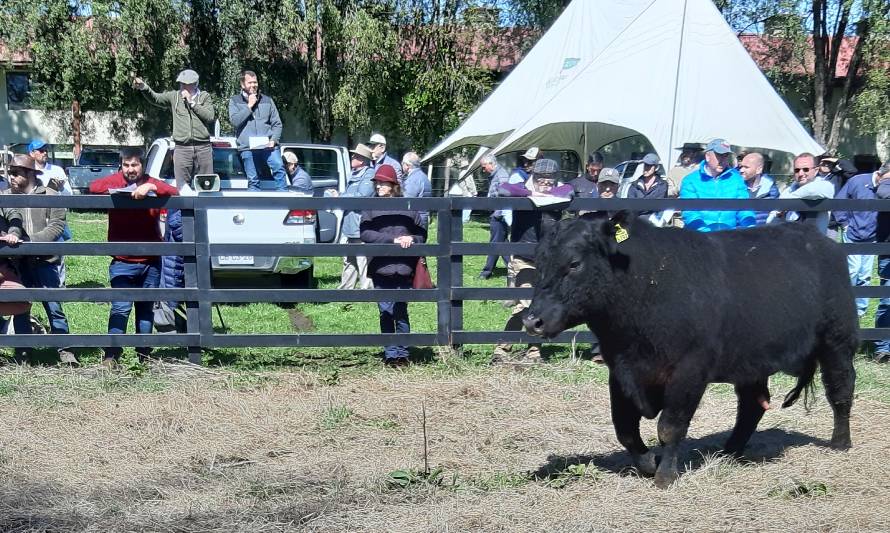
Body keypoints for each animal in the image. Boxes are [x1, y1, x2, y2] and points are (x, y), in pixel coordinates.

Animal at [524, 214, 856, 488]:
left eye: (574, 263)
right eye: (538, 263)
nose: (532, 320)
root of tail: (818, 238)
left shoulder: (689, 370)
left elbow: (670, 426)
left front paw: (665, 476)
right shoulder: (620, 370)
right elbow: (625, 428)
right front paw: (649, 462)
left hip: (837, 341)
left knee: (840, 389)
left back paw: (840, 442)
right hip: (751, 361)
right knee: (752, 405)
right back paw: (729, 451)